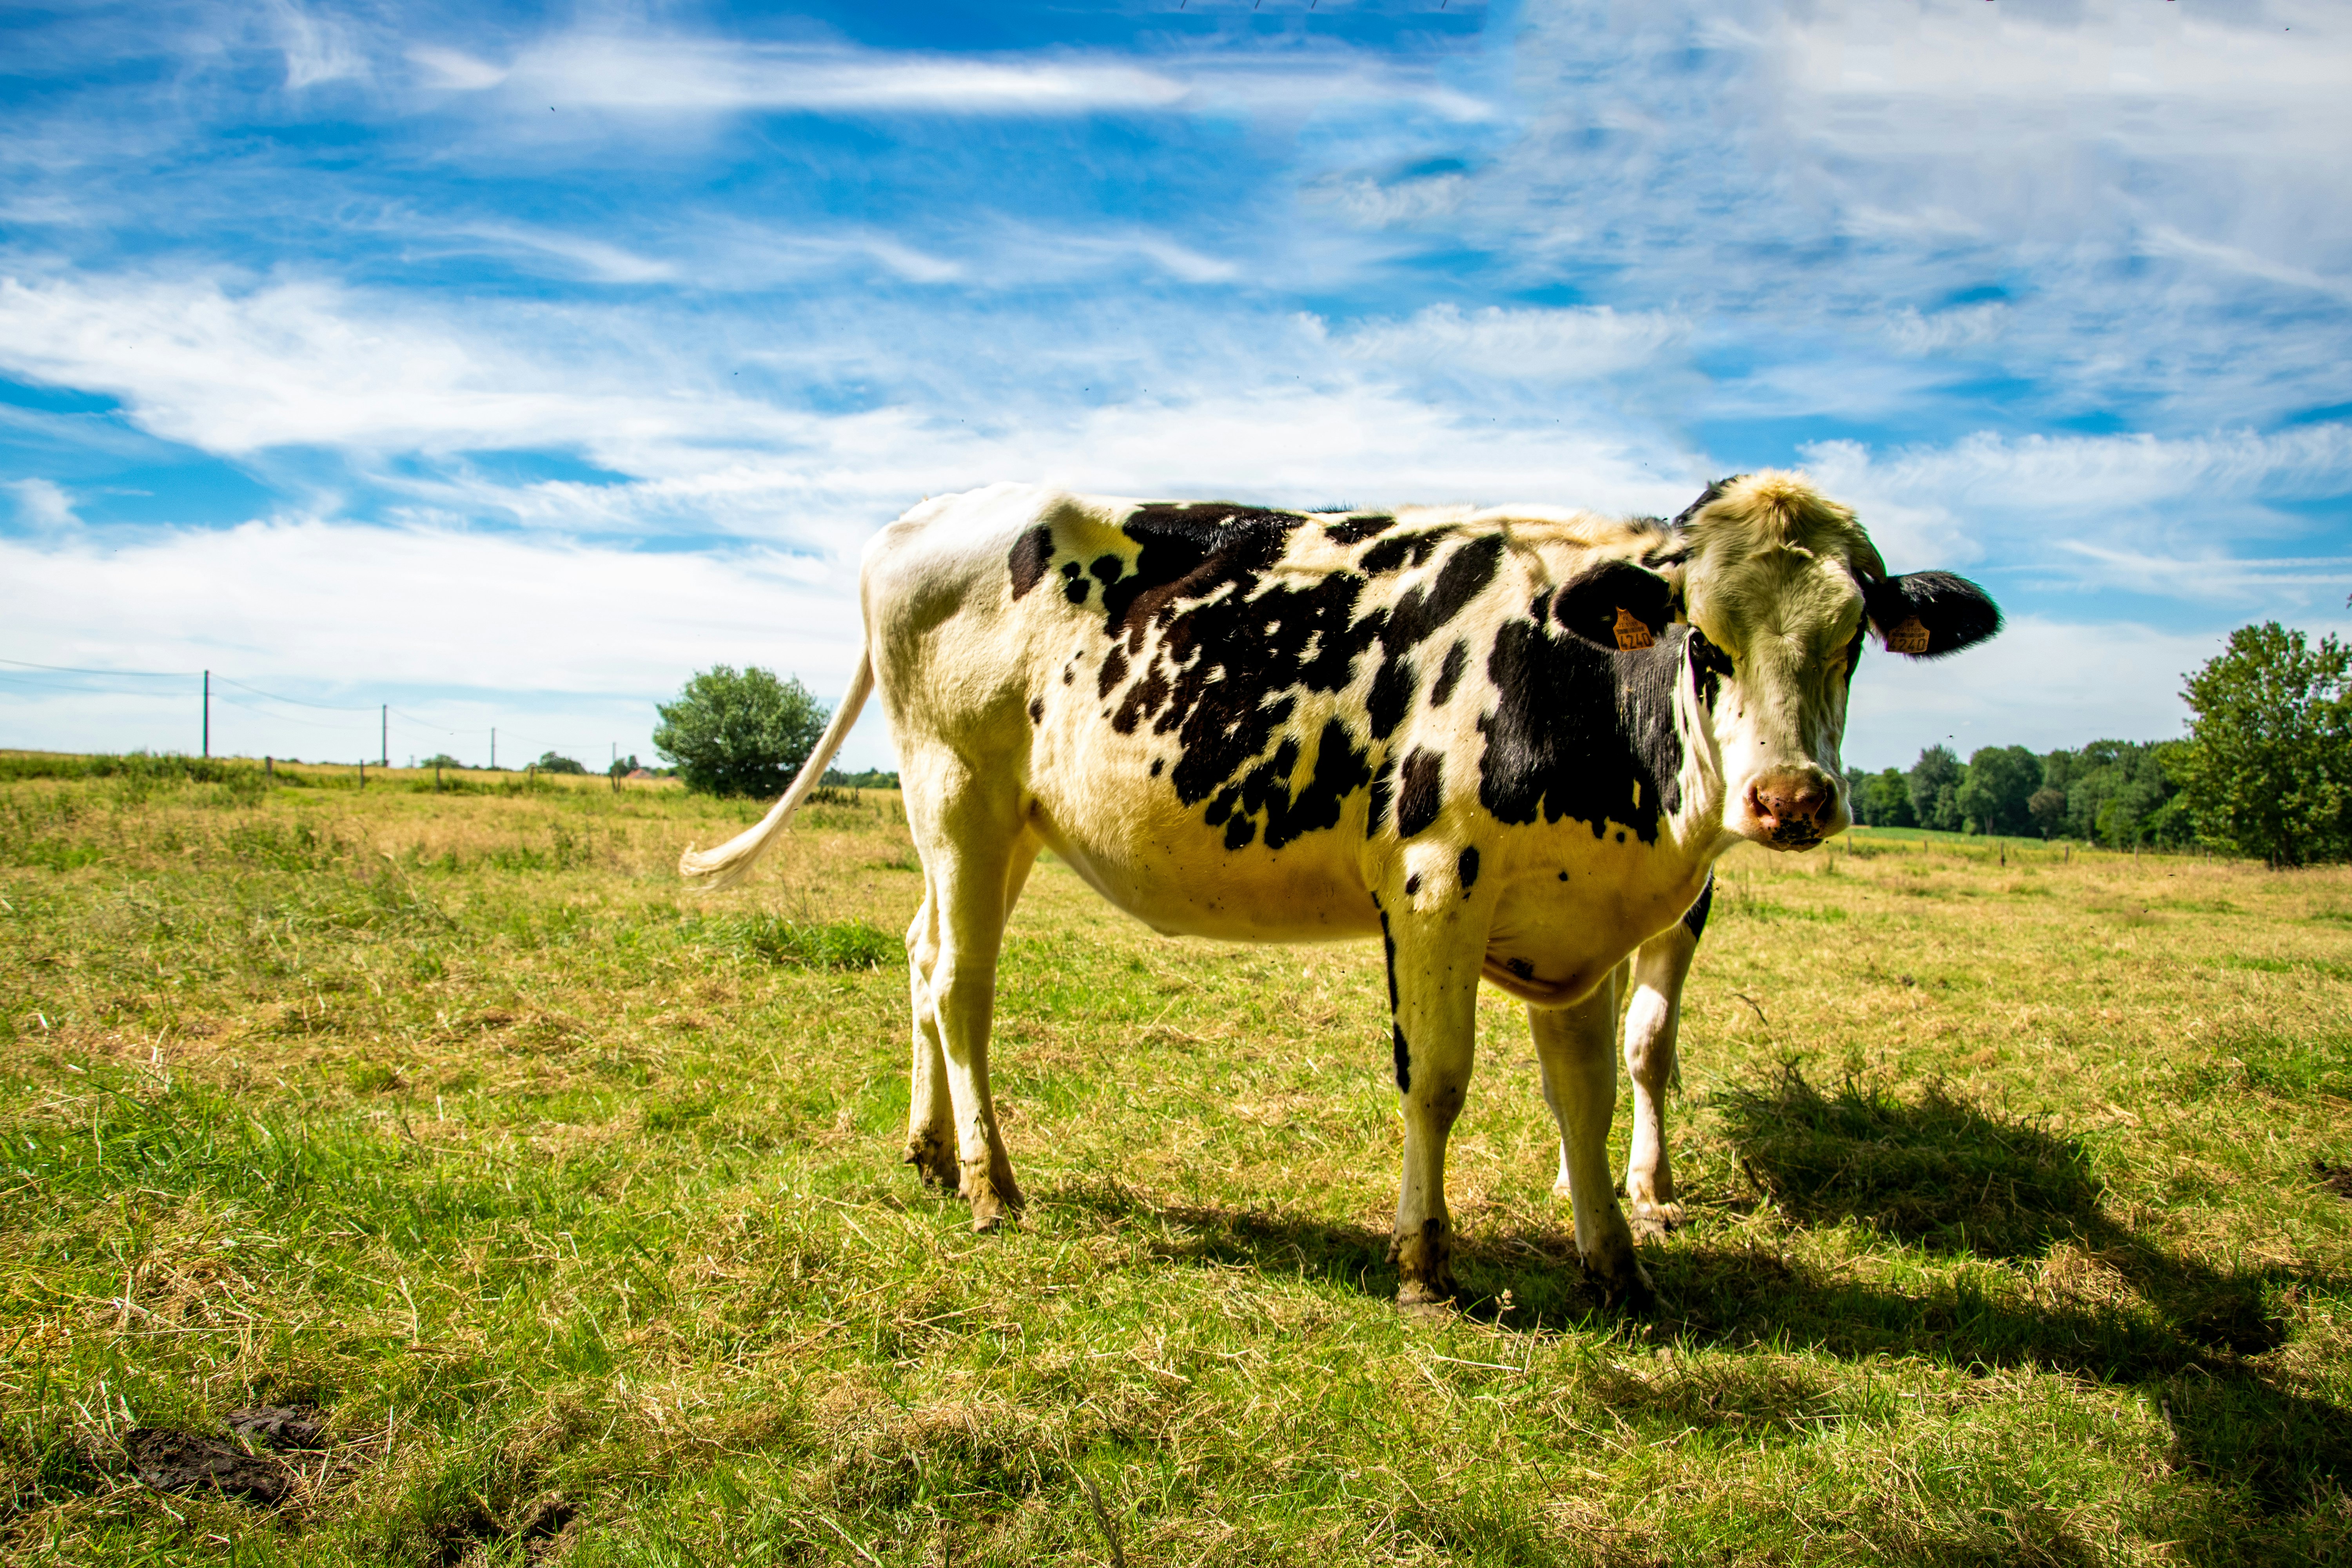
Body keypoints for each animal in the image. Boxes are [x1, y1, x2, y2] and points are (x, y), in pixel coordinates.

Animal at [687, 472, 2004, 1307]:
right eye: (1700, 633)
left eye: (1850, 638)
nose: (1791, 797)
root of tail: (923, 518)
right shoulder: (1432, 882)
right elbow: (1438, 1080)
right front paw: (1424, 1259)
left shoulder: (1576, 926)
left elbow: (1584, 1094)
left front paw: (1616, 1261)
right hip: (958, 786)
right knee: (962, 986)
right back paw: (990, 1183)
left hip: (1003, 823)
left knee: (921, 956)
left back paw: (927, 1149)